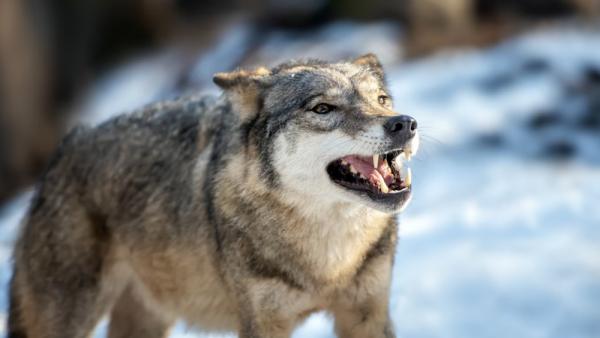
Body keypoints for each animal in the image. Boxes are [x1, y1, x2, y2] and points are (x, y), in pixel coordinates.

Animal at [7, 53, 418, 338]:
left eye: (382, 99)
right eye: (322, 108)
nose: (405, 123)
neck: (328, 261)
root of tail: (64, 149)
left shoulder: (367, 314)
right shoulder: (262, 323)